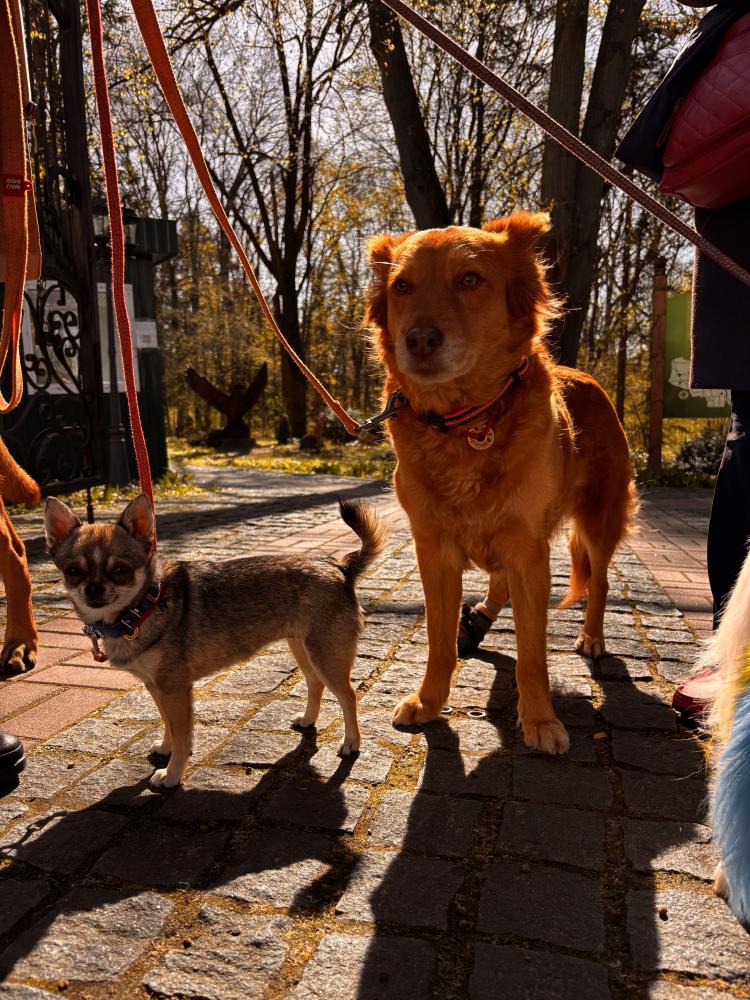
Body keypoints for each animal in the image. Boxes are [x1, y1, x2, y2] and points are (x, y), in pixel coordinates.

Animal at [44, 493, 386, 787]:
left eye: (120, 570)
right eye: (73, 571)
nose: (93, 589)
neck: (143, 607)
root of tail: (338, 566)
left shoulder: (175, 689)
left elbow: (182, 733)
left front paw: (172, 774)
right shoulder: (158, 687)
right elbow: (167, 724)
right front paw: (166, 749)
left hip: (327, 657)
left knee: (348, 696)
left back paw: (351, 742)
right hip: (303, 649)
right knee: (315, 684)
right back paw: (308, 720)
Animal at [365, 211, 636, 754]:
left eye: (470, 279)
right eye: (401, 286)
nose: (419, 339)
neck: (465, 421)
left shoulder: (530, 550)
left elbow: (532, 652)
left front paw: (539, 719)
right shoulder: (434, 550)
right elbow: (437, 641)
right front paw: (429, 701)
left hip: (598, 520)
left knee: (598, 580)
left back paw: (592, 637)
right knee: (498, 582)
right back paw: (480, 618)